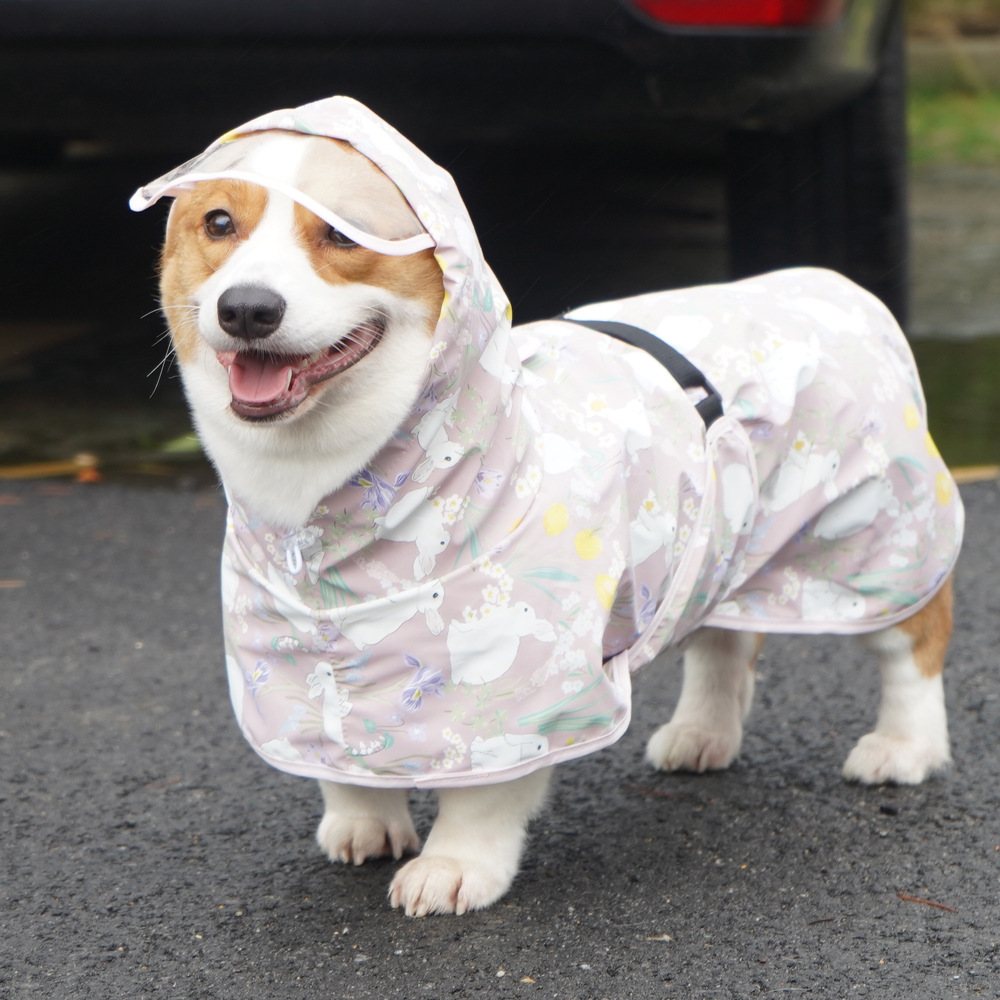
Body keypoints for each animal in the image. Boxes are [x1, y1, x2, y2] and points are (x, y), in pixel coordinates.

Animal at [137, 97, 964, 916]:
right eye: (217, 222)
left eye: (344, 232)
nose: (247, 309)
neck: (325, 511)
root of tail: (833, 288)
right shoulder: (288, 659)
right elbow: (339, 757)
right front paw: (362, 821)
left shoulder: (524, 685)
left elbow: (484, 792)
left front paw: (453, 867)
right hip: (721, 538)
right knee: (724, 639)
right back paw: (702, 734)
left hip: (875, 533)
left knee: (914, 641)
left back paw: (905, 747)